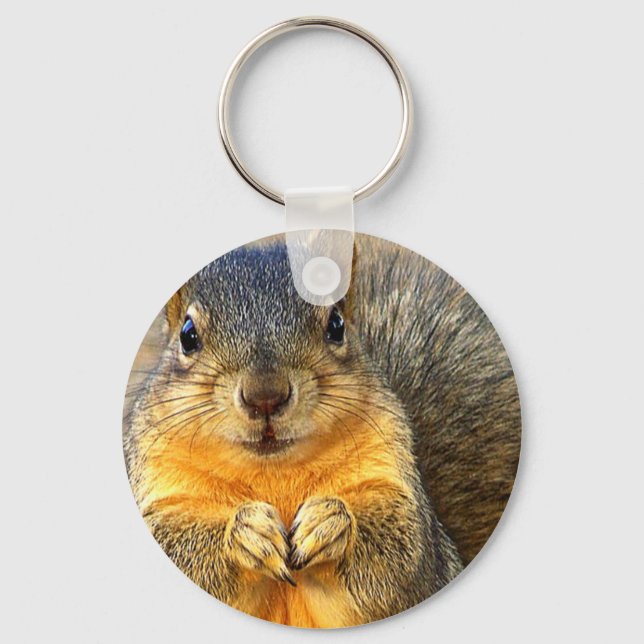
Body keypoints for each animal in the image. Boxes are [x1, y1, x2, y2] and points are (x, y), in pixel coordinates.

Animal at [123, 234, 520, 628]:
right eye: (187, 335)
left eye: (336, 325)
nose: (265, 396)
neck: (274, 472)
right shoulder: (161, 490)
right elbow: (177, 544)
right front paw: (245, 532)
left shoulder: (396, 488)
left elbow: (403, 553)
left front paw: (330, 522)